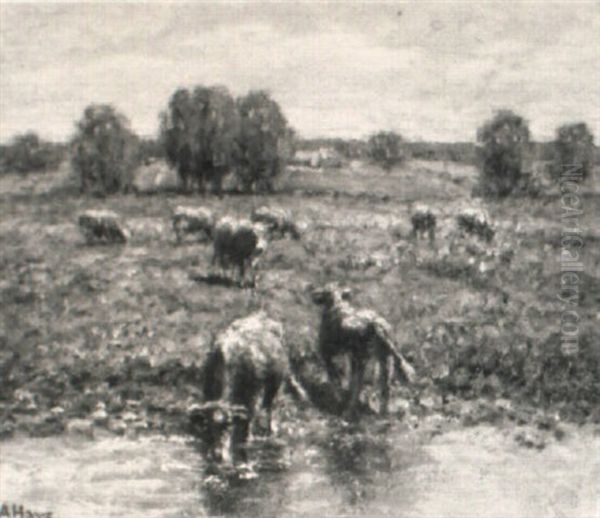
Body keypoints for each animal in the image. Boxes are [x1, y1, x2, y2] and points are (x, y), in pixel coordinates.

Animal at [191, 312, 308, 468]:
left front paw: (247, 441)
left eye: (229, 425)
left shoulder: (254, 395)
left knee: (273, 407)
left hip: (276, 383)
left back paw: (272, 429)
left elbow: (250, 421)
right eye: (210, 425)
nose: (219, 455)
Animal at [312, 282, 414, 420]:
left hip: (362, 359)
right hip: (385, 360)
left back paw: (349, 412)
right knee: (385, 388)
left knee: (359, 387)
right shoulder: (348, 358)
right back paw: (382, 414)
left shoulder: (327, 355)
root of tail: (376, 324)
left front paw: (339, 399)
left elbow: (336, 381)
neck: (337, 304)